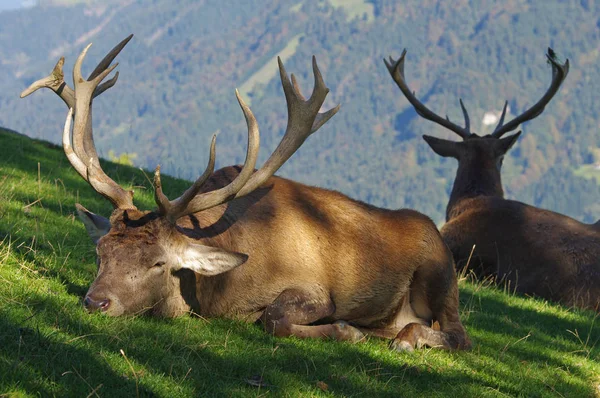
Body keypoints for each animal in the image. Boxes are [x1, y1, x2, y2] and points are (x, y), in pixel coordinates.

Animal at [19, 35, 474, 350]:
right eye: (101, 252)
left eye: (158, 263)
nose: (96, 302)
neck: (219, 291)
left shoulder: (314, 287)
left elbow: (274, 319)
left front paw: (347, 330)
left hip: (440, 275)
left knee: (459, 334)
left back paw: (408, 338)